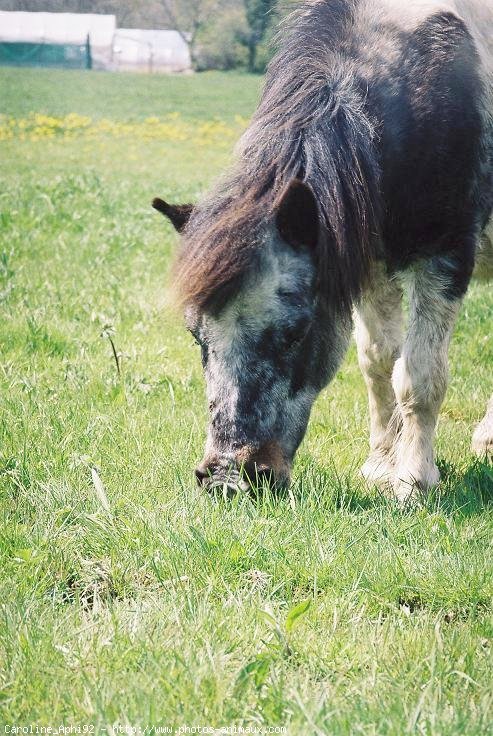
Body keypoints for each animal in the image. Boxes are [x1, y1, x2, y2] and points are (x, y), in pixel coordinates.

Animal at [154, 0, 492, 500]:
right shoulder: (370, 265)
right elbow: (378, 362)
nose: (229, 478)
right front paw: (381, 466)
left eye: (295, 333)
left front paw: (414, 481)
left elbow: (419, 374)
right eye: (197, 337)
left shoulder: (443, 258)